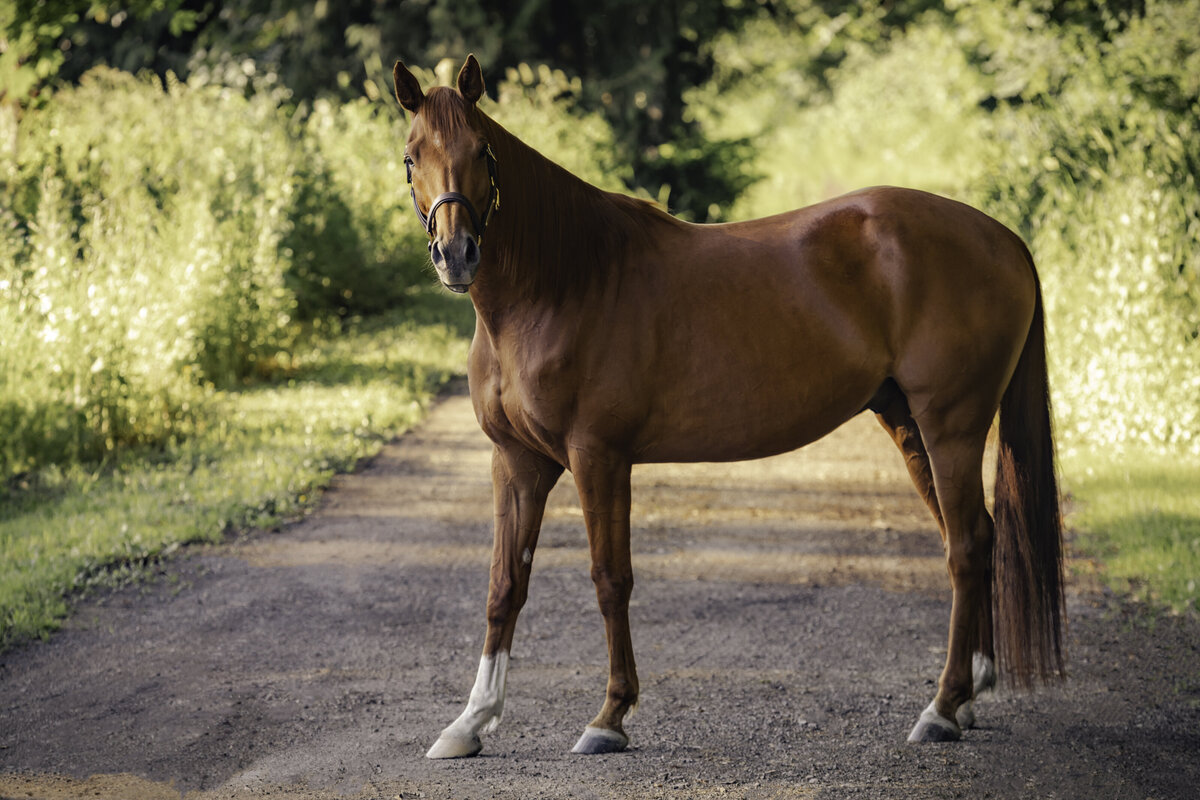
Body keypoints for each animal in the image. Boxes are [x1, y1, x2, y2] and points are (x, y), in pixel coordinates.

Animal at [391, 54, 1060, 758]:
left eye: (482, 151)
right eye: (411, 157)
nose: (456, 254)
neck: (562, 283)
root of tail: (1002, 237)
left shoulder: (599, 457)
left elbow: (610, 579)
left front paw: (609, 717)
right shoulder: (517, 463)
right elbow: (504, 586)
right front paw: (469, 722)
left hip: (952, 426)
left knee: (966, 546)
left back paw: (942, 707)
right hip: (908, 424)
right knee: (975, 536)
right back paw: (969, 695)